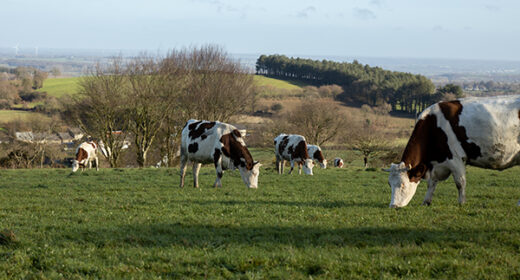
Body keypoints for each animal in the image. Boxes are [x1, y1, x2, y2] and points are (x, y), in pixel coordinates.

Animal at [384, 96, 520, 208]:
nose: (393, 206)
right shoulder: (437, 163)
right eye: (389, 184)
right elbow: (431, 183)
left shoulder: (454, 158)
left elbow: (460, 183)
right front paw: (426, 202)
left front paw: (461, 203)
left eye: (402, 184)